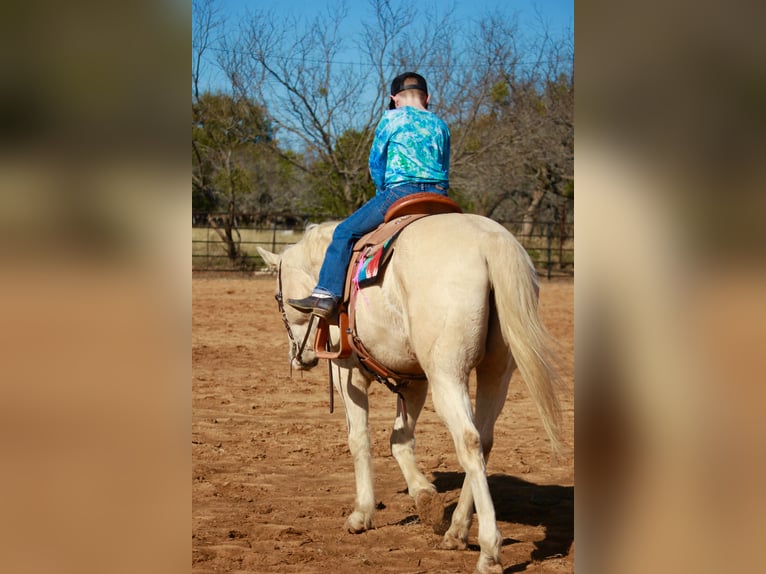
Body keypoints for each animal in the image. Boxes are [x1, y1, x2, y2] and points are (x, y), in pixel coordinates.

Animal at [258, 215, 564, 574]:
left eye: (278, 299)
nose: (298, 358)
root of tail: (490, 242)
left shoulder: (347, 372)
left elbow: (359, 439)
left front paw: (362, 514)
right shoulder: (413, 379)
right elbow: (400, 440)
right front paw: (424, 496)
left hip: (448, 375)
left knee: (469, 441)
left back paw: (489, 551)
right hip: (496, 372)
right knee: (484, 441)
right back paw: (456, 531)